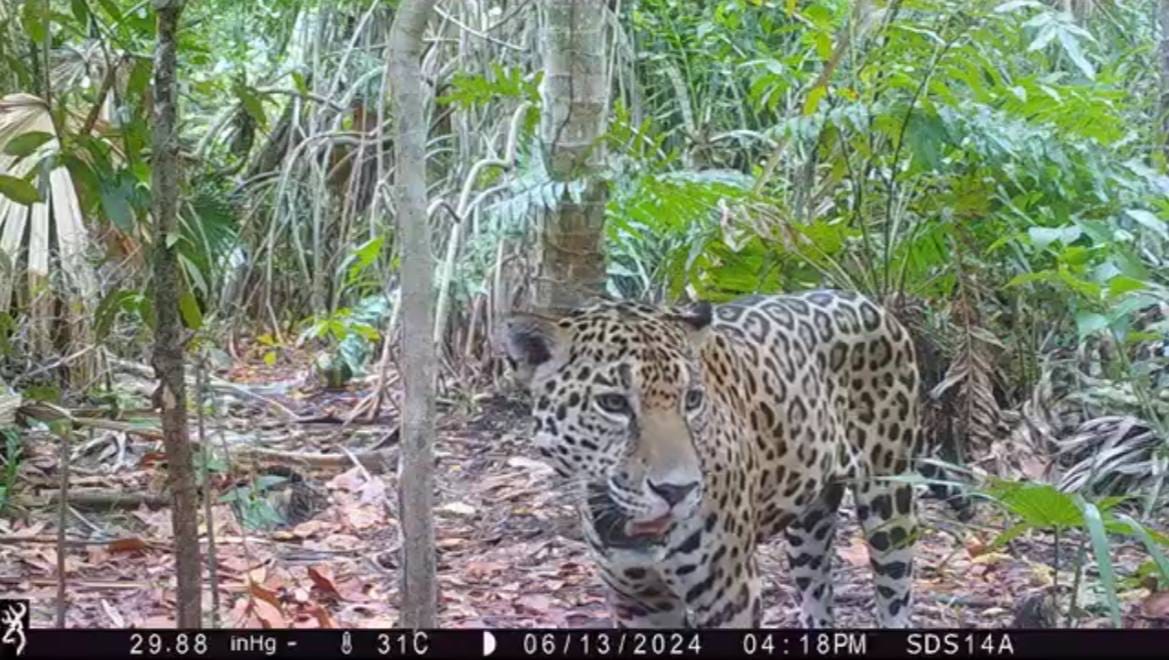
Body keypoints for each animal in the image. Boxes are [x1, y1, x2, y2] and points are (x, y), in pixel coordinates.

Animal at [502, 290, 923, 628]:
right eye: (613, 403)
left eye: (692, 399)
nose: (677, 491)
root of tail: (868, 301)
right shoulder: (636, 601)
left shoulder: (729, 593)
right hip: (809, 523)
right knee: (818, 600)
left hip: (889, 502)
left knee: (895, 598)